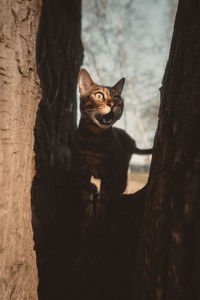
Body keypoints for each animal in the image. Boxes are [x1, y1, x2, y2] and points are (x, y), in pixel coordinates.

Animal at [74, 68, 152, 213]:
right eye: (99, 96)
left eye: (117, 98)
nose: (113, 104)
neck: (94, 139)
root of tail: (132, 141)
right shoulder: (82, 170)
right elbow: (86, 199)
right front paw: (87, 216)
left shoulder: (109, 173)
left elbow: (103, 200)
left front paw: (99, 216)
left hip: (121, 170)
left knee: (120, 187)